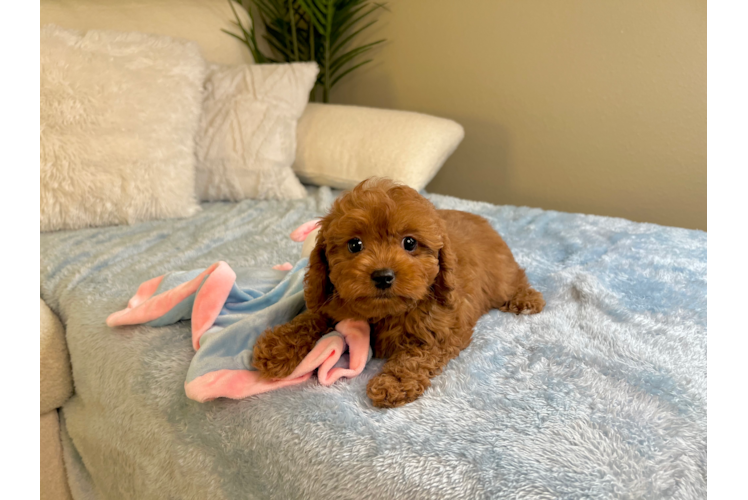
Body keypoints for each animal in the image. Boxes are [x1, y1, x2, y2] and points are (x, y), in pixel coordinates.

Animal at [251, 178, 544, 408]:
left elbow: (415, 357)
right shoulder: (332, 302)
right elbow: (310, 318)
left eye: (410, 243)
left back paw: (526, 299)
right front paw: (277, 347)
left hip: (500, 275)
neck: (386, 312)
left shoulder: (443, 329)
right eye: (355, 245)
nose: (383, 276)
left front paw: (393, 383)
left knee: (516, 278)